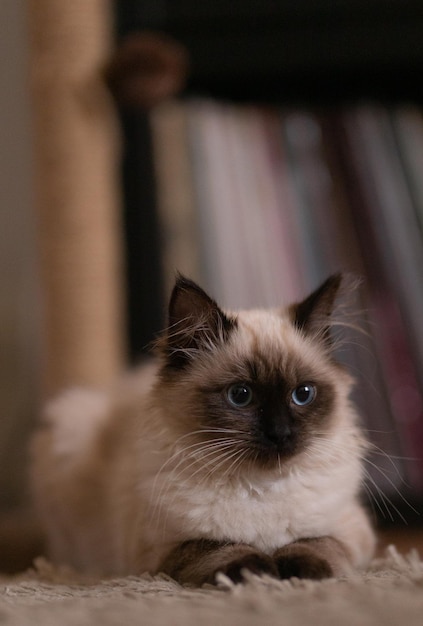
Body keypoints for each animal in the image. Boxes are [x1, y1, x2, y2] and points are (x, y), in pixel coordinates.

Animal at [30, 274, 378, 584]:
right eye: (240, 395)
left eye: (303, 394)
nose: (280, 433)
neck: (260, 487)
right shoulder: (161, 551)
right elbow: (218, 547)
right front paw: (258, 572)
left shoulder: (351, 531)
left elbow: (317, 543)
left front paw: (301, 572)